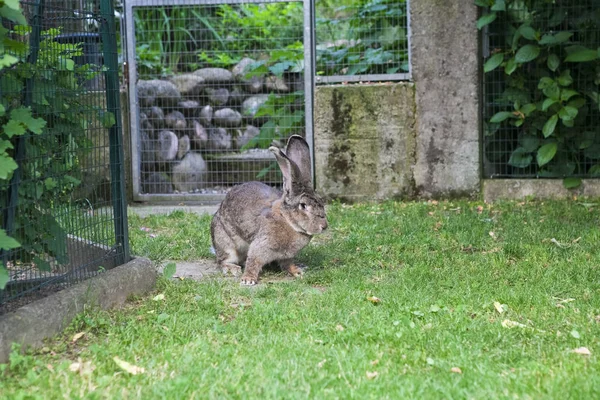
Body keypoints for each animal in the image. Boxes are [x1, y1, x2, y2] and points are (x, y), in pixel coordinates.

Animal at [209, 134, 326, 284]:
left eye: (321, 202)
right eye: (303, 205)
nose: (324, 226)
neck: (288, 220)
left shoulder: (286, 256)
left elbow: (287, 264)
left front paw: (297, 272)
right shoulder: (260, 245)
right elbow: (253, 261)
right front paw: (248, 279)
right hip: (225, 242)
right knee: (223, 260)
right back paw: (232, 268)